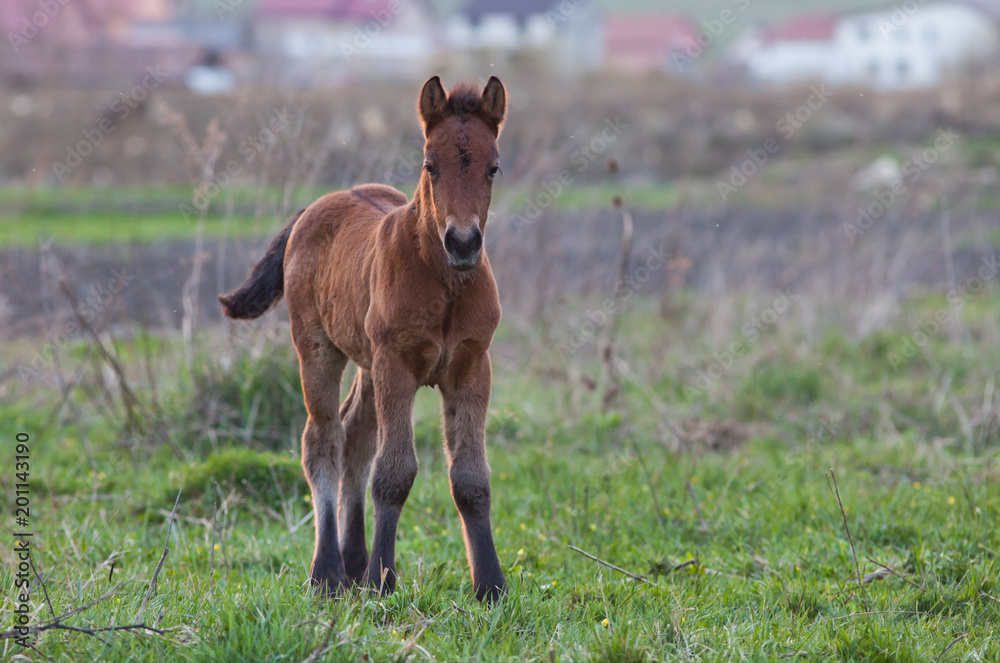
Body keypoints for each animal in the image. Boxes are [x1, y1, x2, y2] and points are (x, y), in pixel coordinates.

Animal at [218, 76, 508, 603]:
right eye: (430, 165)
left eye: (493, 167)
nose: (462, 242)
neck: (444, 283)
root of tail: (316, 206)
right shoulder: (397, 364)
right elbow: (393, 472)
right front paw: (382, 578)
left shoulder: (472, 366)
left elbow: (471, 478)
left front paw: (490, 586)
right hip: (318, 349)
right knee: (324, 440)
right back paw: (327, 571)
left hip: (370, 364)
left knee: (355, 436)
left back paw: (353, 563)